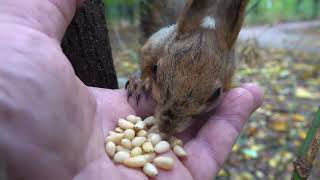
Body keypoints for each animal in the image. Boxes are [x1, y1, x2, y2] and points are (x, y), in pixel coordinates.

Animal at [126, 0, 249, 137]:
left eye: (216, 94)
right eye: (155, 70)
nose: (166, 127)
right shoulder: (154, 44)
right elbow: (144, 62)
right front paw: (139, 82)